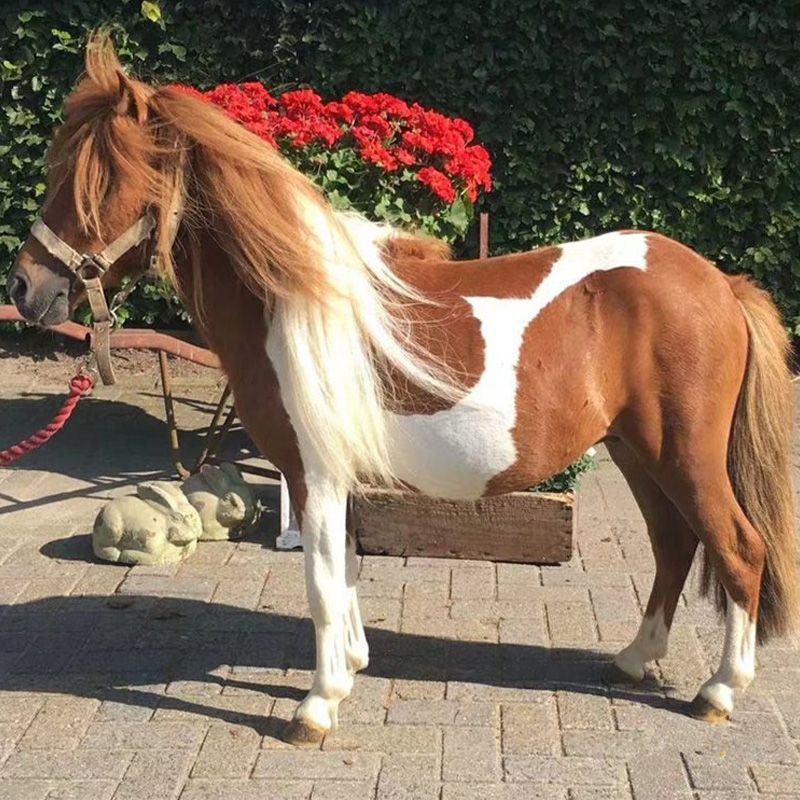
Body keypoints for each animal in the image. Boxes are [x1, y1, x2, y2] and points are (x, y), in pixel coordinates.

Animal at [8, 36, 797, 745]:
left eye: (94, 180)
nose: (24, 287)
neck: (293, 298)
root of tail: (721, 284)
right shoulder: (335, 475)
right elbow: (348, 571)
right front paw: (353, 666)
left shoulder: (314, 473)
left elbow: (322, 583)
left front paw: (317, 706)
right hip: (638, 451)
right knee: (674, 546)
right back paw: (635, 660)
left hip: (685, 456)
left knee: (738, 548)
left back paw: (719, 691)